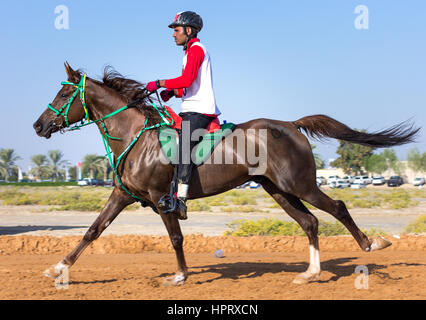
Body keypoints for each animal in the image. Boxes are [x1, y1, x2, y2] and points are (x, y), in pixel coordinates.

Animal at [34, 62, 420, 284]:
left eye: (65, 93)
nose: (39, 125)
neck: (136, 136)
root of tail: (291, 125)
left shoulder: (161, 199)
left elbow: (175, 238)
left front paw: (181, 276)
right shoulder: (122, 196)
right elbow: (92, 231)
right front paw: (57, 268)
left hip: (300, 184)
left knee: (336, 207)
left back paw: (371, 243)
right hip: (277, 189)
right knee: (309, 222)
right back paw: (310, 273)